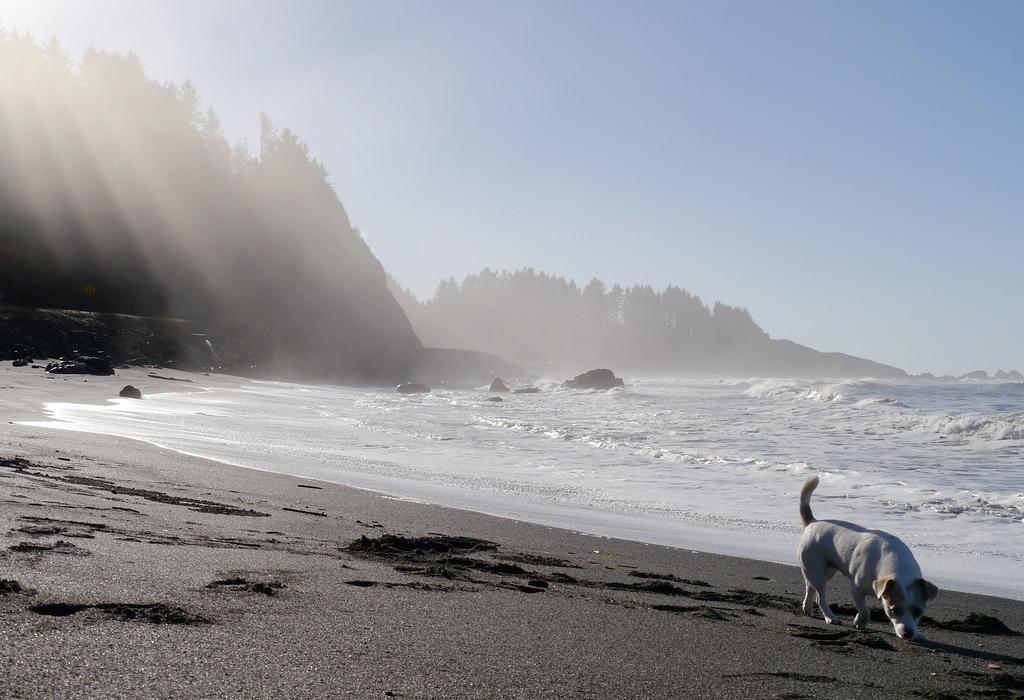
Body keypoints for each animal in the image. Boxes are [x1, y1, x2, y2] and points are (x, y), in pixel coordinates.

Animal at [794, 474, 937, 638]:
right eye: (894, 610)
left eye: (918, 612)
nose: (908, 633)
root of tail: (813, 522)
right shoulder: (857, 590)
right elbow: (864, 609)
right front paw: (860, 621)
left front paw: (919, 634)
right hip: (817, 572)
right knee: (820, 597)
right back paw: (830, 616)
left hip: (826, 571)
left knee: (810, 587)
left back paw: (807, 607)